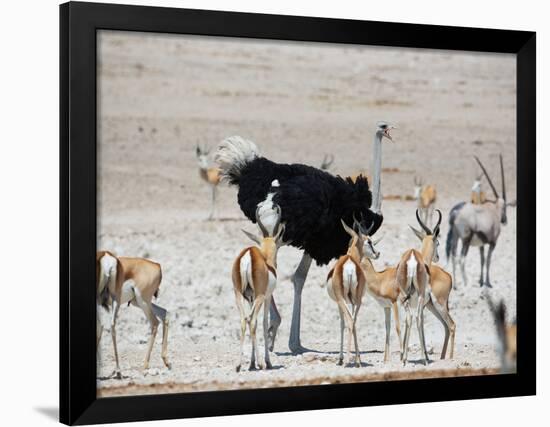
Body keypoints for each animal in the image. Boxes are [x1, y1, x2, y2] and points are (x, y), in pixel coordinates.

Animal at [234, 205, 286, 372]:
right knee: (252, 320)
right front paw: (266, 362)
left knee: (244, 320)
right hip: (259, 297)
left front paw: (251, 363)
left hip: (239, 296)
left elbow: (255, 323)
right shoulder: (267, 297)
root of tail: (248, 255)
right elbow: (264, 323)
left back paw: (238, 365)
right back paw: (263, 364)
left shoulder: (250, 298)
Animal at [398, 209, 442, 366]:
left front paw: (402, 356)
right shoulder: (423, 302)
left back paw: (405, 359)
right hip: (420, 297)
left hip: (403, 297)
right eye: (438, 242)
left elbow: (406, 322)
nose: (437, 257)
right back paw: (423, 358)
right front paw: (427, 357)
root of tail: (412, 258)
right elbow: (421, 321)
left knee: (409, 318)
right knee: (416, 318)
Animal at [448, 155, 508, 288]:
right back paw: (466, 283)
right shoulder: (493, 243)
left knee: (454, 256)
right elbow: (488, 260)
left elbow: (482, 260)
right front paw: (488, 283)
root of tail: (457, 213)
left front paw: (481, 281)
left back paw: (455, 285)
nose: (505, 220)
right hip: (466, 240)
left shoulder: (481, 245)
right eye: (505, 206)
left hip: (456, 237)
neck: (494, 210)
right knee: (461, 258)